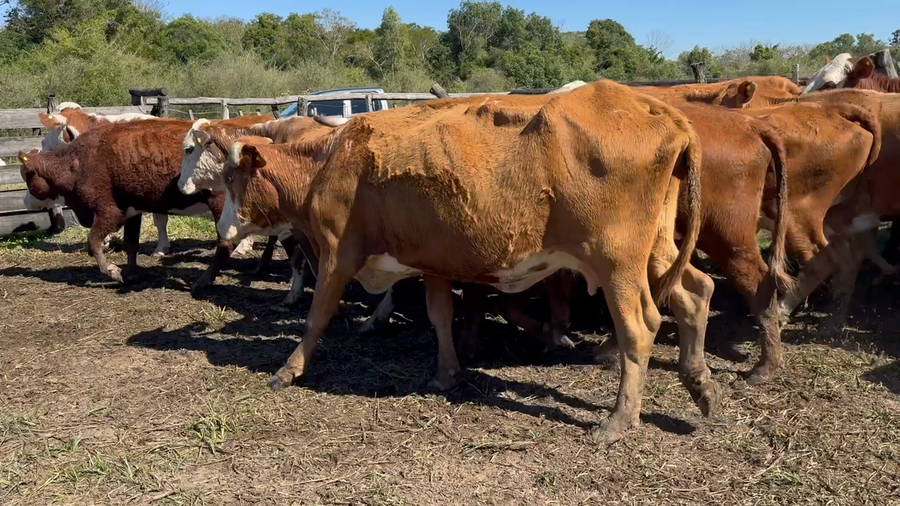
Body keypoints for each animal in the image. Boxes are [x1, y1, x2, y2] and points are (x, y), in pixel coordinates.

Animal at [18, 119, 237, 289]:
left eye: (27, 176)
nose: (25, 201)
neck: (78, 162)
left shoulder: (109, 212)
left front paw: (112, 271)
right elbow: (131, 244)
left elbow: (93, 242)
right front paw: (130, 274)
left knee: (225, 244)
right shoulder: (132, 211)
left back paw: (204, 280)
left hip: (219, 204)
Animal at [220, 80, 719, 443]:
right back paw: (699, 382)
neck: (333, 157)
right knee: (695, 292)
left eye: (231, 179)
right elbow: (440, 316)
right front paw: (447, 373)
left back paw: (619, 419)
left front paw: (289, 369)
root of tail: (654, 107)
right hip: (657, 248)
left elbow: (317, 316)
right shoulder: (432, 262)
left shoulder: (337, 254)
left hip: (616, 262)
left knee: (639, 327)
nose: (222, 230)